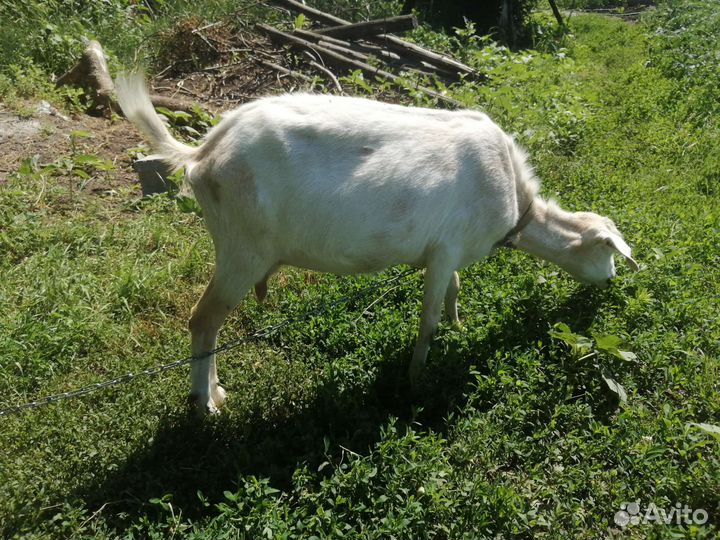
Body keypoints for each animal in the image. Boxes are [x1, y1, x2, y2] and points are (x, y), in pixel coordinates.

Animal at [115, 74, 639, 414]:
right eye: (609, 251)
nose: (612, 281)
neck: (514, 199)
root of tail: (204, 151)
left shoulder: (444, 252)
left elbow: (453, 289)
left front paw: (458, 324)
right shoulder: (446, 250)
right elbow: (427, 320)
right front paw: (416, 377)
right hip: (242, 249)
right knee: (203, 320)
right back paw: (207, 402)